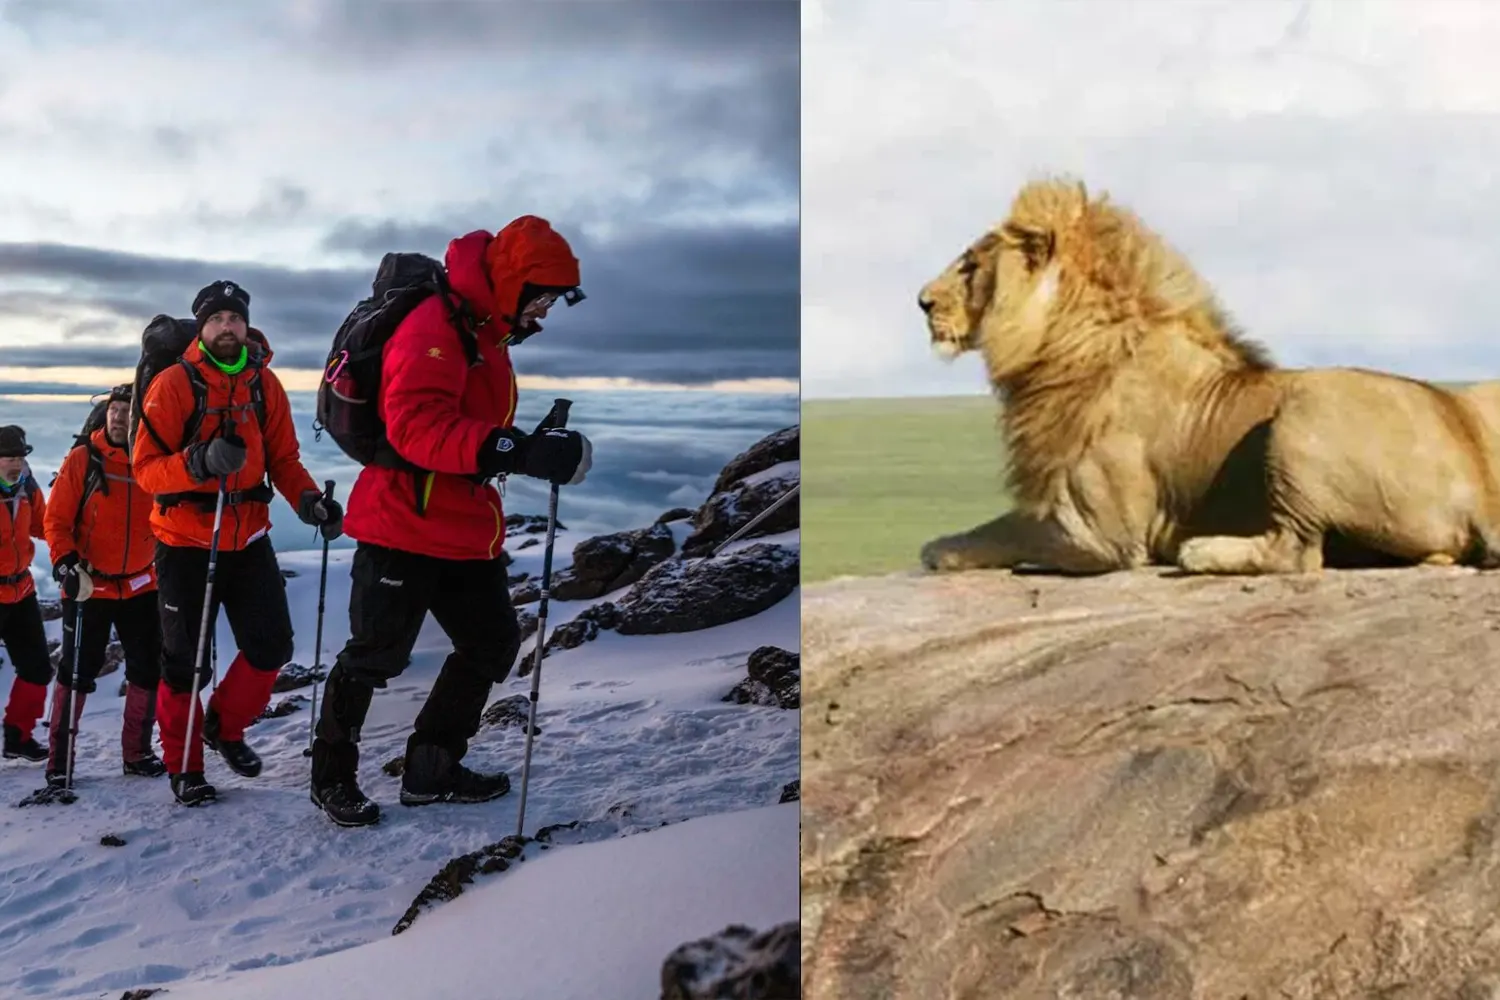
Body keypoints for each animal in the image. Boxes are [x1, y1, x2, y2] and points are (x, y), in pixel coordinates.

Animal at [918, 175, 1500, 575]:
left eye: (971, 265)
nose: (922, 301)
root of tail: (1480, 488)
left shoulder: (1102, 534)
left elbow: (999, 532)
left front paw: (942, 547)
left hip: (1307, 408)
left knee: (1296, 553)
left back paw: (1198, 551)